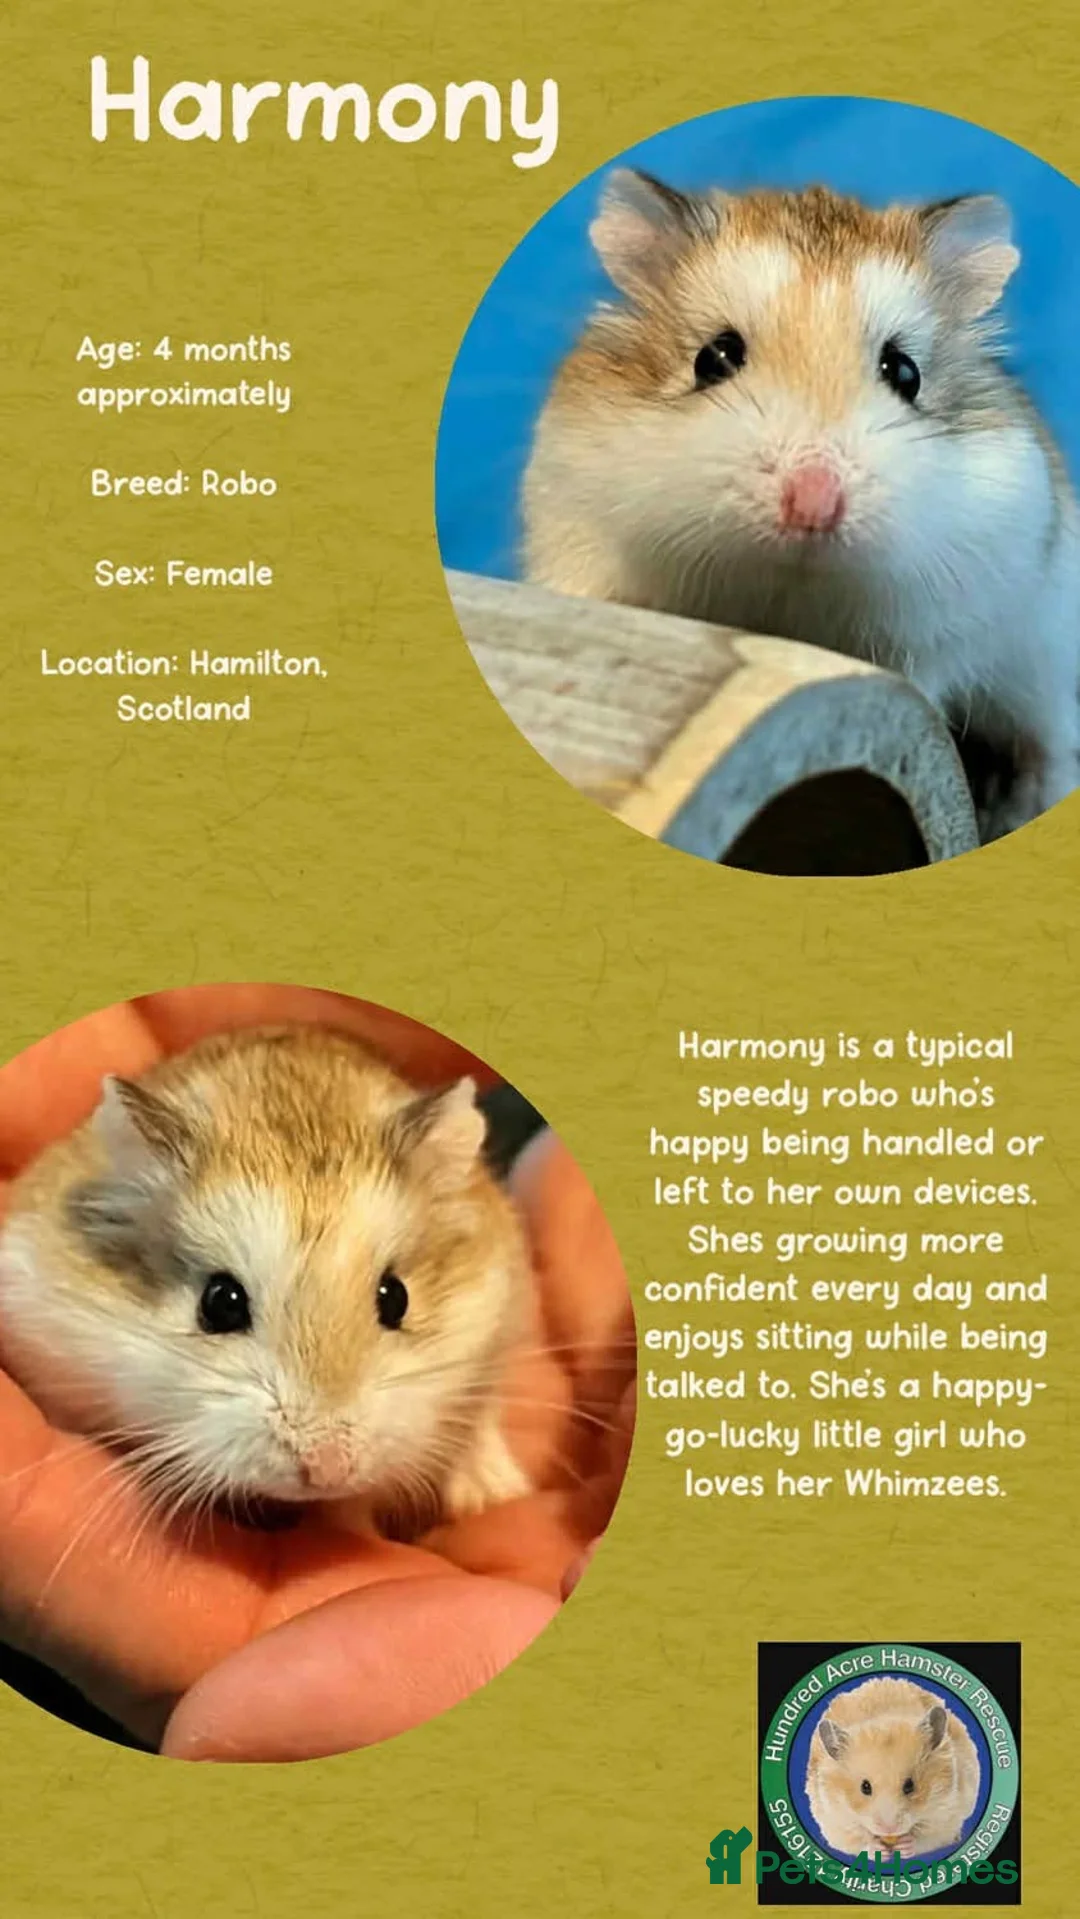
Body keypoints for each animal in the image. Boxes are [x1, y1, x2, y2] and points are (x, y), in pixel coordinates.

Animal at [806, 1677, 981, 1859]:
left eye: (910, 1785)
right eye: (865, 1787)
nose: (889, 1829)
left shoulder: (946, 1814)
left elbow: (927, 1838)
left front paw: (905, 1846)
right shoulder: (835, 1821)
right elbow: (857, 1841)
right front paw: (879, 1851)